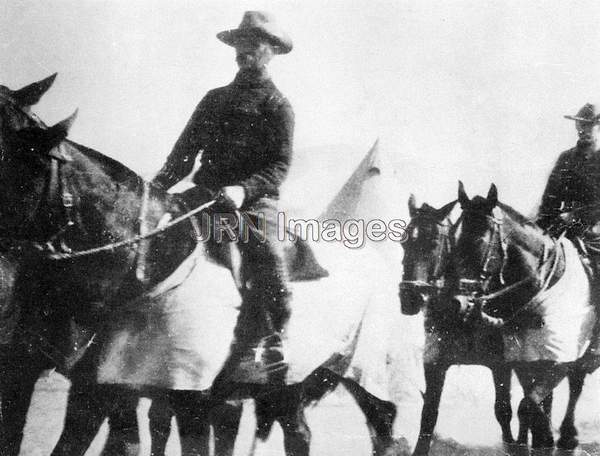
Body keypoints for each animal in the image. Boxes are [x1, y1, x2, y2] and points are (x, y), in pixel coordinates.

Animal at [0, 75, 406, 456]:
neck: (151, 261)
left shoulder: (186, 392)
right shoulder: (105, 383)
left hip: (369, 376)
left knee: (385, 431)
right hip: (289, 384)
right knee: (299, 434)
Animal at [452, 182, 592, 452]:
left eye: (479, 241)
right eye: (454, 242)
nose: (457, 302)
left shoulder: (560, 359)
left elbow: (528, 406)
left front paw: (542, 440)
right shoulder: (517, 361)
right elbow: (516, 407)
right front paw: (529, 440)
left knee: (576, 384)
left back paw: (568, 436)